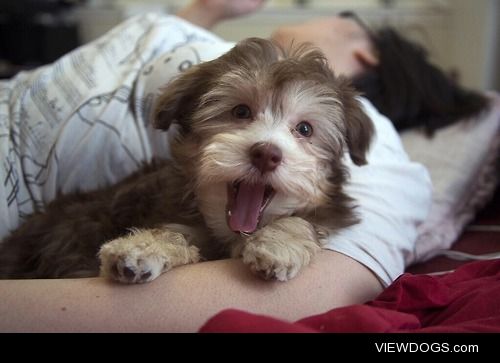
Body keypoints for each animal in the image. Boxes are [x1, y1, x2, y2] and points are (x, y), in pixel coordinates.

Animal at [0, 39, 372, 284]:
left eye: (304, 129)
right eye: (240, 111)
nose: (266, 153)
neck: (226, 234)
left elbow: (299, 220)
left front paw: (278, 245)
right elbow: (175, 232)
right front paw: (141, 247)